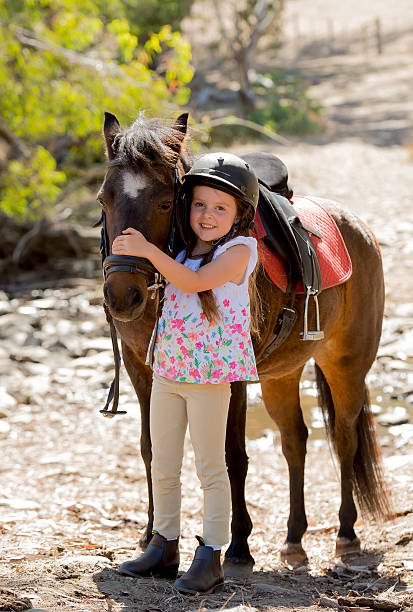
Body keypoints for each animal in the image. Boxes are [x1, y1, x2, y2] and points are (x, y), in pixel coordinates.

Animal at [97, 112, 390, 576]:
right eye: (103, 200)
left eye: (165, 202)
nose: (122, 296)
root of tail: (358, 227)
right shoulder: (142, 368)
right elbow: (151, 448)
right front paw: (150, 535)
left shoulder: (231, 380)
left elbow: (233, 454)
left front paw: (237, 547)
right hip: (283, 375)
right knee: (295, 441)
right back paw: (293, 540)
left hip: (346, 365)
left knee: (344, 438)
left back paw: (346, 535)